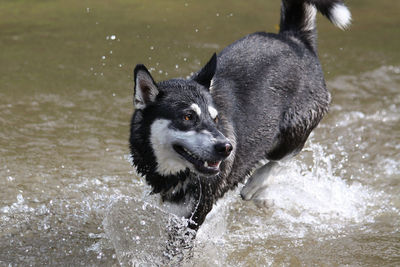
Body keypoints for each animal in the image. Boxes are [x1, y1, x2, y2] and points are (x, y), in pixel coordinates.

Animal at [130, 0, 350, 232]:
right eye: (188, 117)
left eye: (215, 118)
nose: (227, 148)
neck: (174, 173)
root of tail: (293, 38)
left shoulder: (191, 217)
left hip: (291, 132)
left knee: (286, 156)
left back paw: (256, 184)